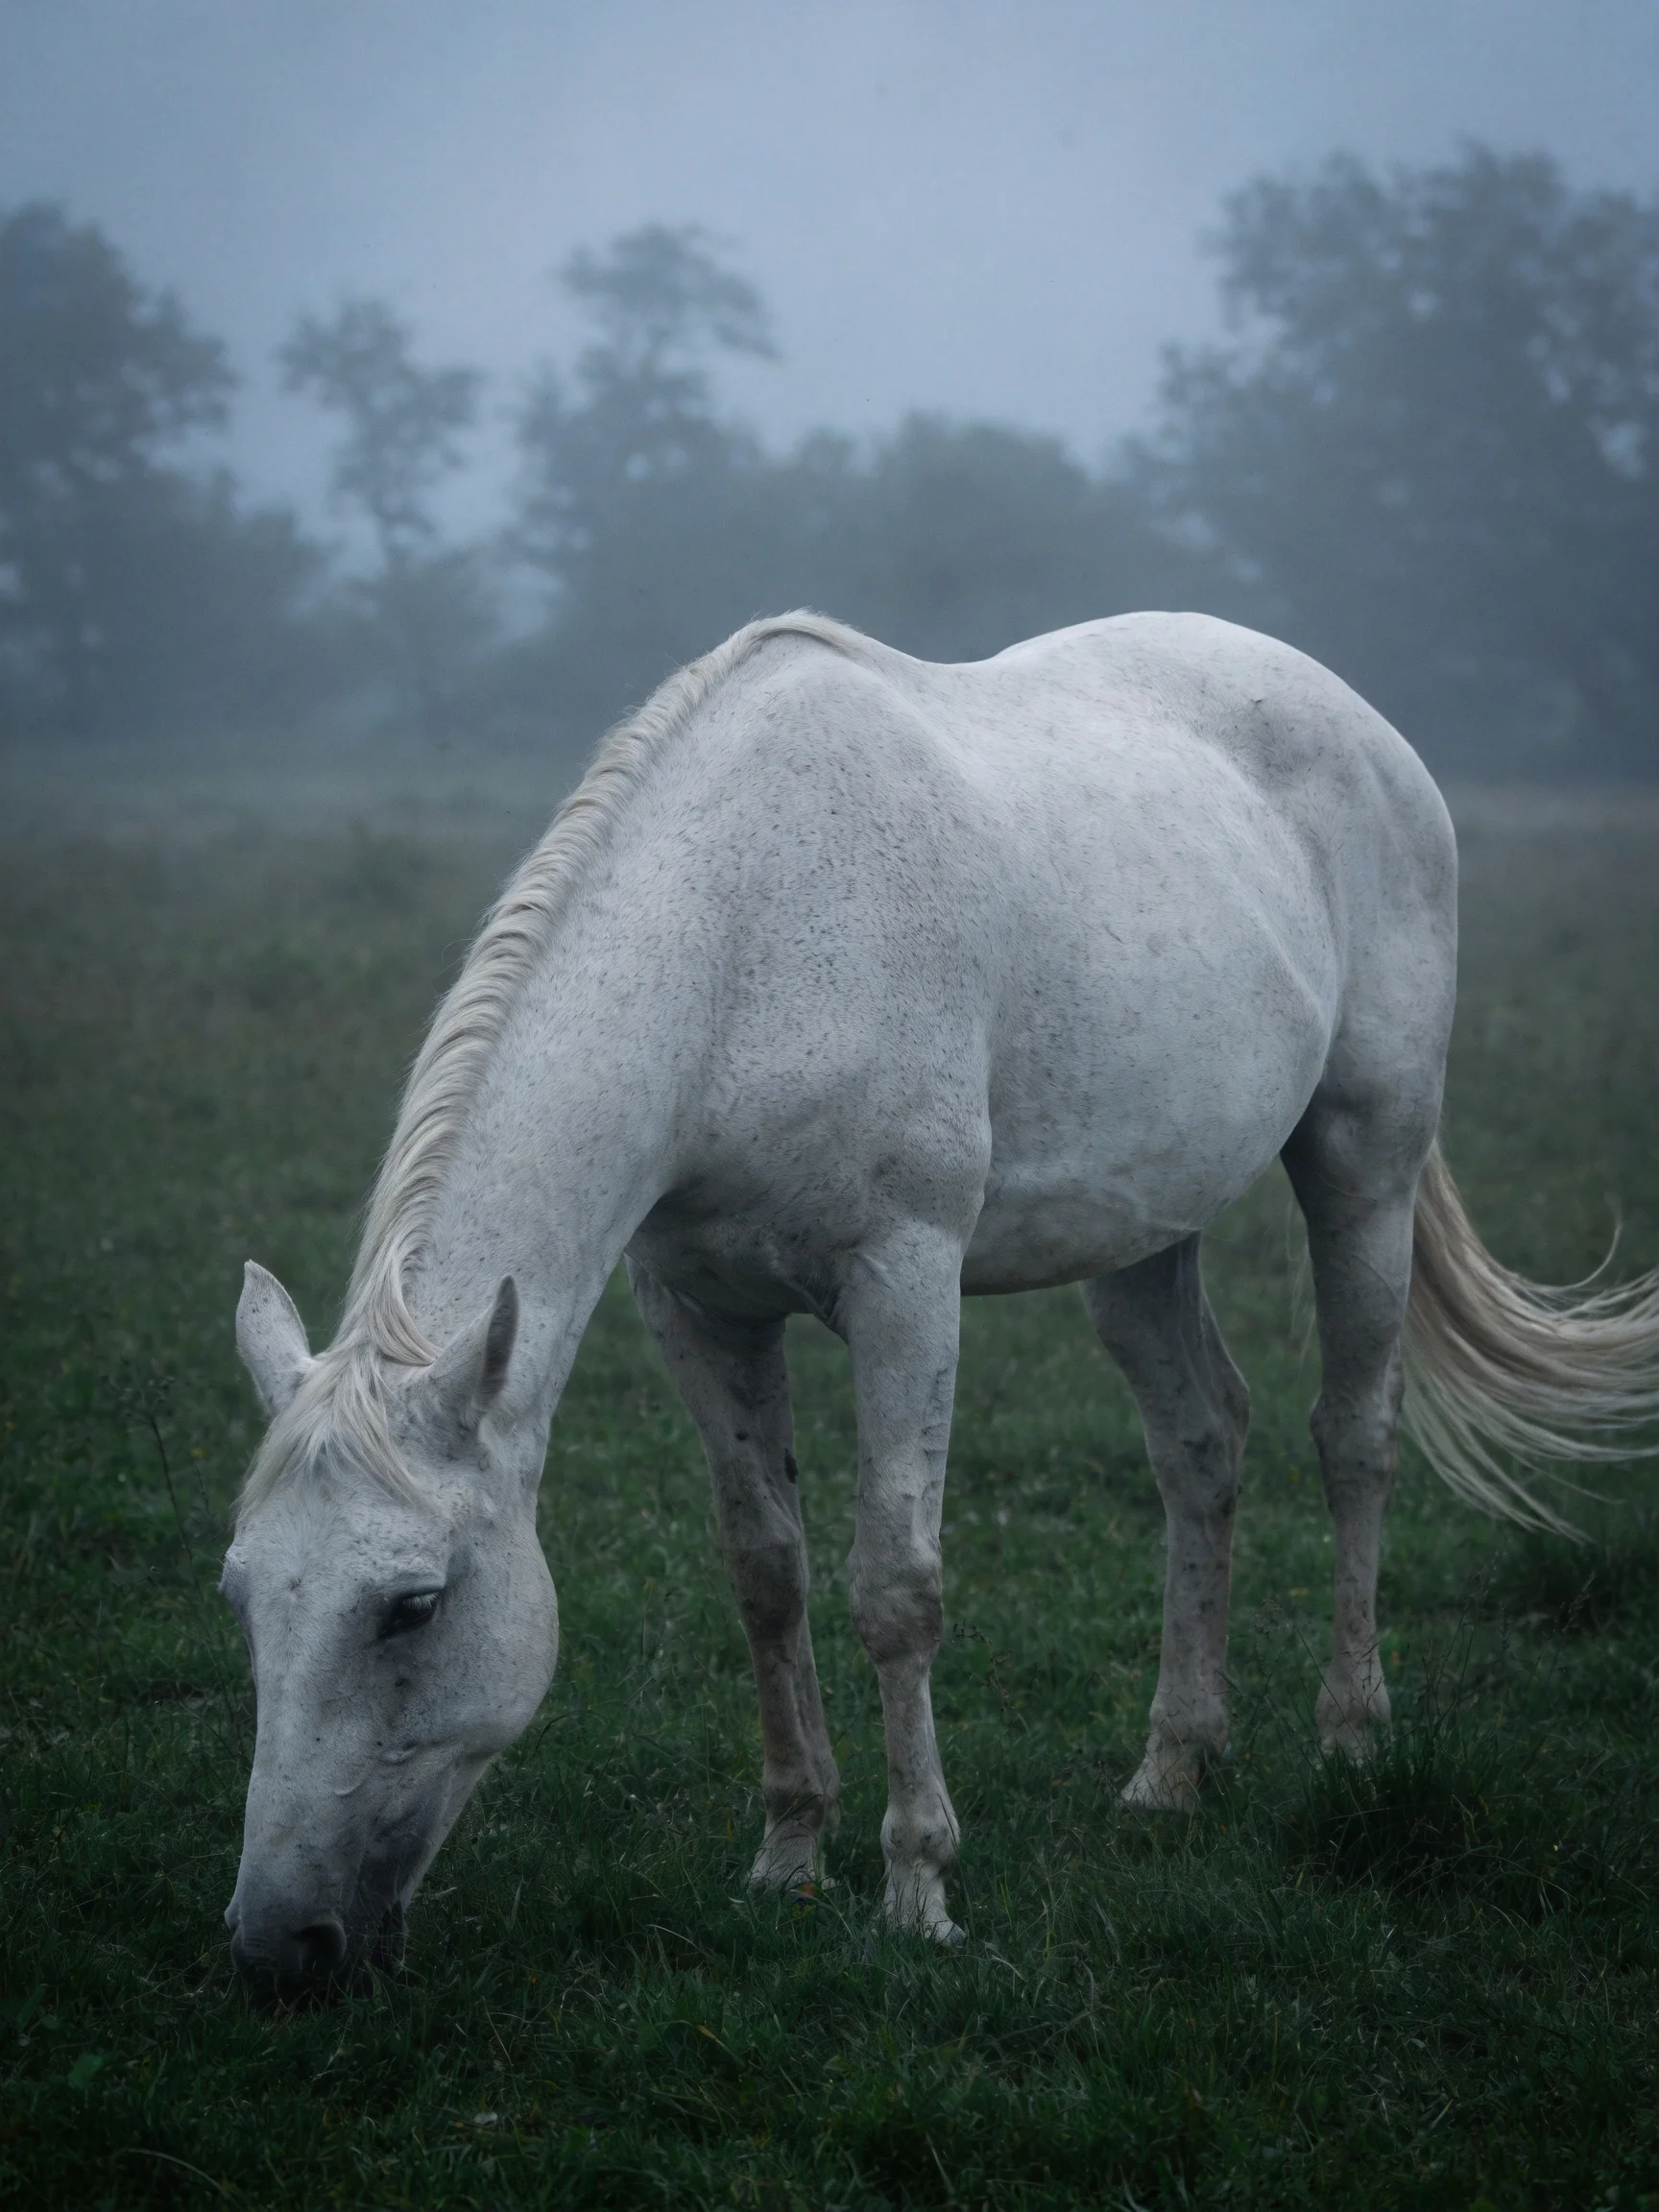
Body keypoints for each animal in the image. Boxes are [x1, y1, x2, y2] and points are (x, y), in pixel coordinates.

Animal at [220, 610, 1659, 1999]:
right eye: (240, 1595)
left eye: (413, 1606)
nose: (280, 1945)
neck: (742, 941)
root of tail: (1357, 718)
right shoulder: (697, 1305)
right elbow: (768, 1572)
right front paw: (789, 1855)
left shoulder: (903, 1279)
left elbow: (896, 1587)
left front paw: (919, 1889)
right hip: (1143, 1228)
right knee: (1202, 1444)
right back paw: (1172, 1770)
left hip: (1367, 1156)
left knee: (1353, 1435)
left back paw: (1353, 1741)